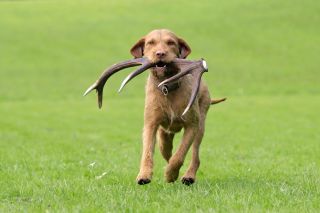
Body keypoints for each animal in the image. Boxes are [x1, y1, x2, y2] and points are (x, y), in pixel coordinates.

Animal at [128, 29, 225, 186]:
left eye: (171, 42)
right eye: (150, 43)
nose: (160, 53)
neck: (167, 87)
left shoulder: (192, 125)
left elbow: (180, 154)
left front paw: (170, 174)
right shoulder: (150, 124)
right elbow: (147, 151)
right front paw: (144, 175)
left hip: (201, 124)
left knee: (195, 156)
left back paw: (188, 176)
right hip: (165, 133)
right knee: (165, 147)